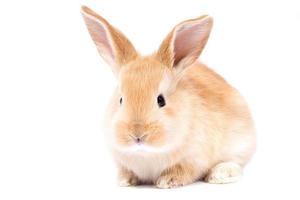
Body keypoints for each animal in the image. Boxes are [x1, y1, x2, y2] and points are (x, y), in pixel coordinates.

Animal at [81, 5, 256, 188]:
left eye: (161, 100)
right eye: (121, 99)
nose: (137, 135)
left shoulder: (194, 159)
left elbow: (184, 171)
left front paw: (166, 181)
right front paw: (124, 180)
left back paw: (219, 174)